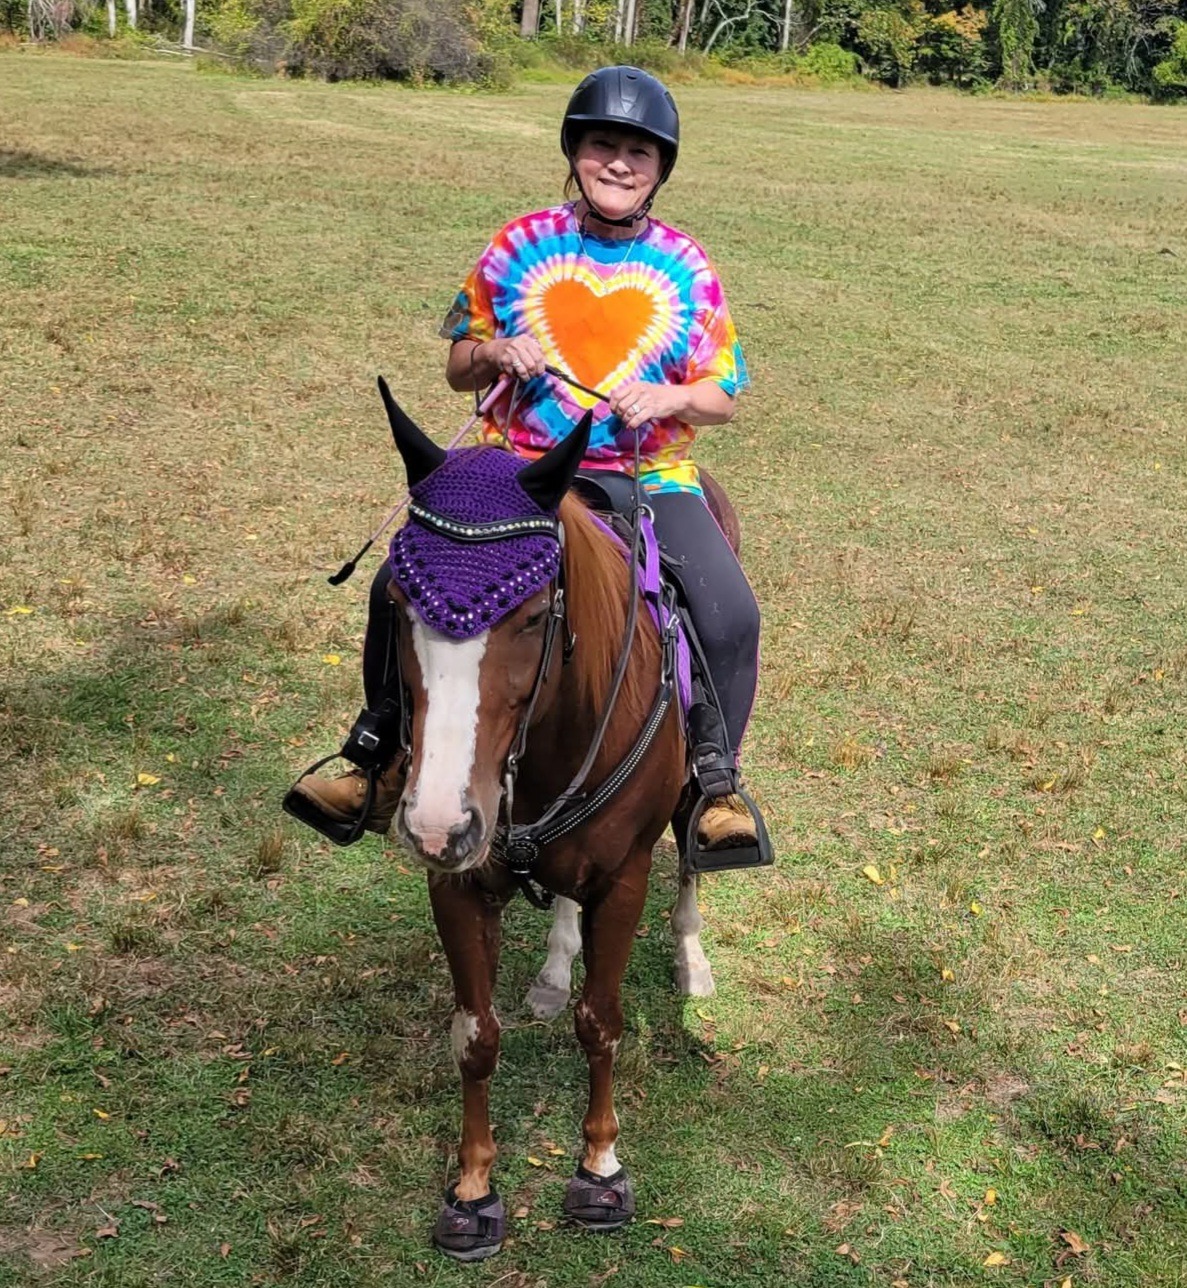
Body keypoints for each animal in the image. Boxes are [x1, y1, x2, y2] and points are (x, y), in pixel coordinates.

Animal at [377, 382, 731, 1261]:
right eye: (397, 603)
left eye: (534, 615)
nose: (438, 824)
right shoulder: (457, 884)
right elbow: (474, 1033)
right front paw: (471, 1190)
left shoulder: (624, 877)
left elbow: (600, 1022)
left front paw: (599, 1171)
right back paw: (551, 967)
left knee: (690, 858)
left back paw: (691, 956)